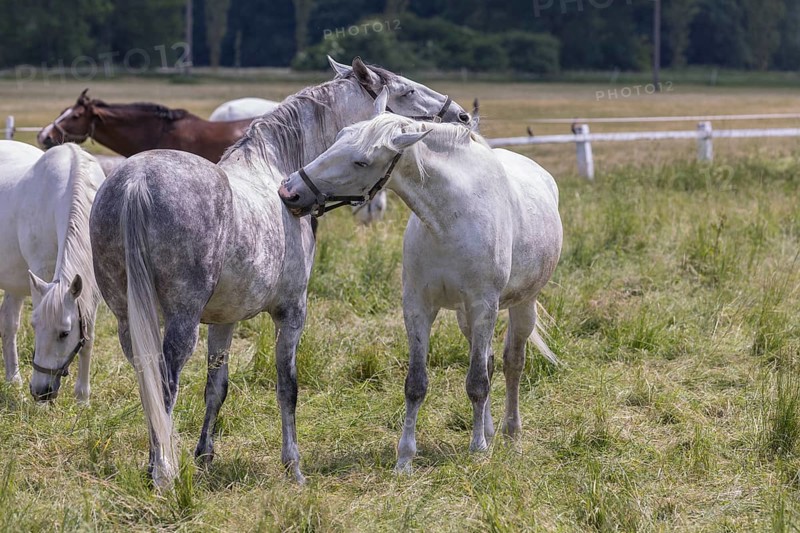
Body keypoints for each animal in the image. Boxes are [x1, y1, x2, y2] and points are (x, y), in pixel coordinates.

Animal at [0, 140, 105, 403]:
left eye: (64, 334)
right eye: (35, 327)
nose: (40, 392)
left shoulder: (92, 290)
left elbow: (88, 338)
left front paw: (82, 398)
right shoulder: (42, 274)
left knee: (8, 324)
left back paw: (13, 380)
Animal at [89, 56, 471, 488]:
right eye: (406, 91)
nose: (461, 116)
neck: (274, 169)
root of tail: (137, 181)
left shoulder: (224, 319)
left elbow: (216, 386)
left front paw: (205, 455)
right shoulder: (291, 312)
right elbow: (287, 386)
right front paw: (294, 466)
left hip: (127, 318)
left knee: (147, 381)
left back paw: (157, 464)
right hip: (181, 320)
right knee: (165, 383)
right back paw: (164, 472)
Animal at [278, 94, 563, 472]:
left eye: (361, 161)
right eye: (337, 138)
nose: (289, 192)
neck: (451, 218)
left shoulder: (483, 306)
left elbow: (477, 383)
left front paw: (477, 450)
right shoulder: (418, 307)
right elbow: (417, 384)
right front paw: (405, 458)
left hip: (521, 305)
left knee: (511, 362)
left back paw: (510, 434)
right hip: (465, 318)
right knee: (487, 360)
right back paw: (488, 430)